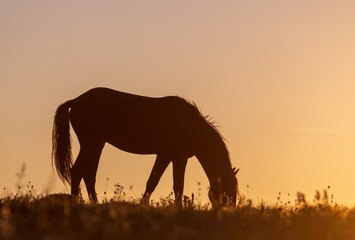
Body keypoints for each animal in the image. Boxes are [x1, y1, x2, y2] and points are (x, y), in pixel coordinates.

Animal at [51, 87, 241, 207]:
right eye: (229, 191)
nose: (229, 211)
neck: (191, 126)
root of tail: (75, 101)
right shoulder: (178, 157)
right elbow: (177, 185)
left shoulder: (165, 155)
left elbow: (152, 182)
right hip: (91, 143)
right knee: (78, 171)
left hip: (97, 145)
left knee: (88, 174)